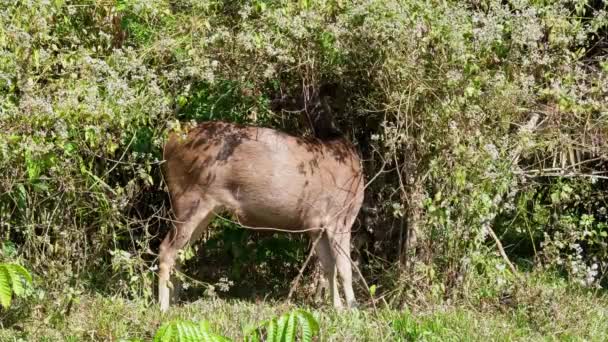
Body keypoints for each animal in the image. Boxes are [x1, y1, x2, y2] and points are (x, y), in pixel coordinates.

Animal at [158, 115, 366, 312]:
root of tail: (169, 143)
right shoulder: (339, 216)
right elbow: (345, 267)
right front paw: (353, 308)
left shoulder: (316, 224)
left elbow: (329, 266)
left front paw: (338, 308)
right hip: (188, 197)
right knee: (166, 249)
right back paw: (163, 306)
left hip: (205, 208)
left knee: (180, 252)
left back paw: (174, 301)